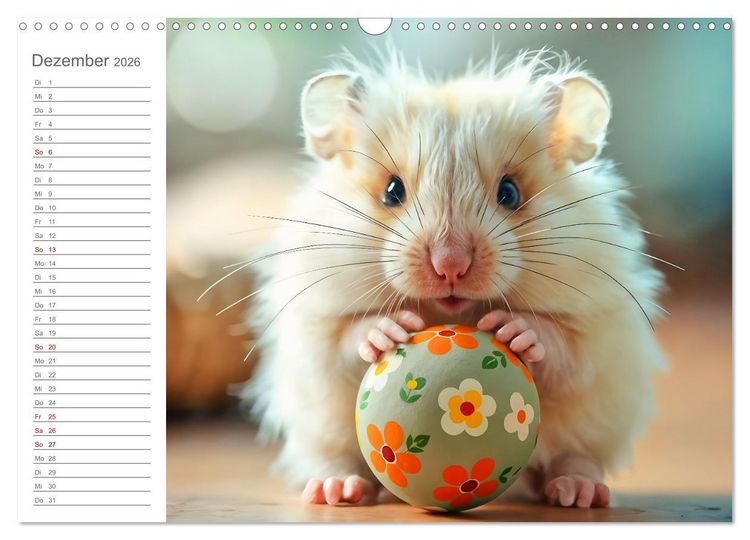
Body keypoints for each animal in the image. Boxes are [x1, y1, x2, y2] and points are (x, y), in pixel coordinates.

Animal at [237, 49, 669, 508]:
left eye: (510, 193)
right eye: (392, 191)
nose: (450, 266)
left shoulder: (596, 329)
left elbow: (562, 349)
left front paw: (513, 330)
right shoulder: (315, 327)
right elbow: (344, 342)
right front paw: (390, 331)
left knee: (574, 459)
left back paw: (576, 492)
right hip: (318, 430)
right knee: (335, 460)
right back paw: (335, 490)